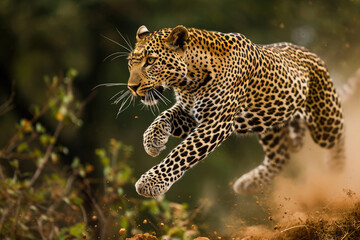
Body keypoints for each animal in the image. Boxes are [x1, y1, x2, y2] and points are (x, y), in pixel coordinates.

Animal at [123, 24, 346, 198]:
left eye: (150, 61)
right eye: (130, 63)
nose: (131, 87)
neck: (188, 82)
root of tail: (313, 53)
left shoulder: (215, 123)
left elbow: (182, 153)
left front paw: (150, 182)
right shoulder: (190, 113)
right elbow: (162, 118)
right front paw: (153, 143)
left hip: (324, 121)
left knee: (340, 134)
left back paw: (338, 172)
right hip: (269, 125)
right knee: (280, 156)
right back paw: (248, 183)